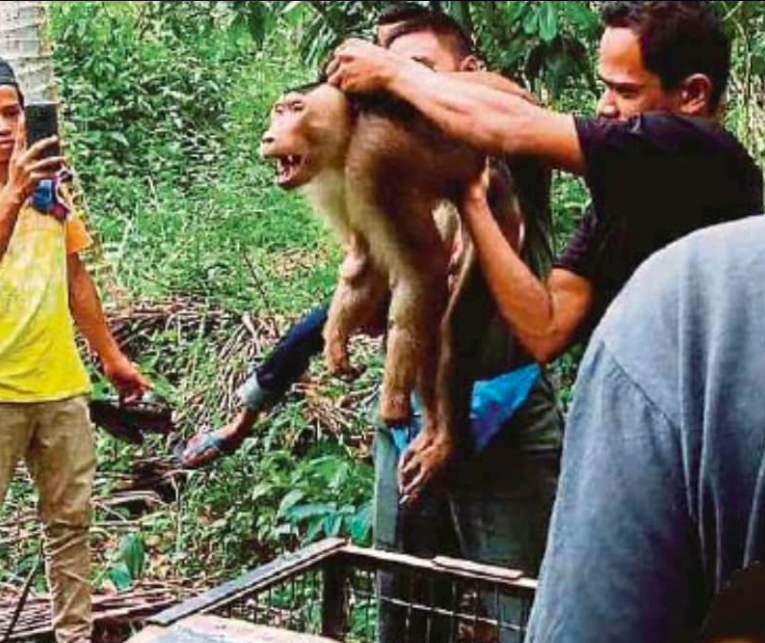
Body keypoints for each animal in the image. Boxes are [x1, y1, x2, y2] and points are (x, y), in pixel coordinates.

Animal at [260, 74, 528, 498]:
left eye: (296, 109)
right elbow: (362, 262)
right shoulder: (336, 183)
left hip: (499, 214)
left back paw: (445, 439)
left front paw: (393, 404)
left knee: (450, 323)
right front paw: (335, 341)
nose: (268, 136)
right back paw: (434, 431)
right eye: (278, 110)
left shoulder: (373, 160)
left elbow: (422, 271)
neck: (348, 135)